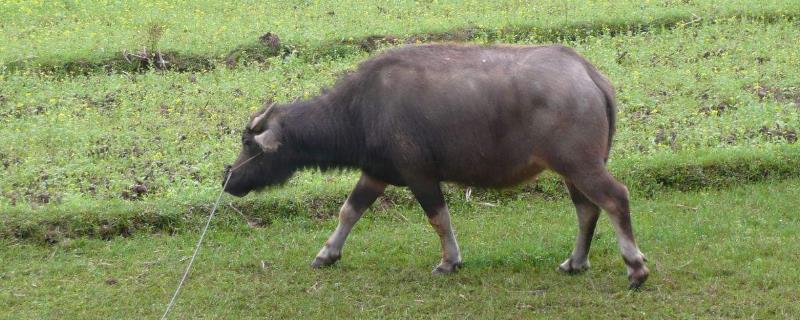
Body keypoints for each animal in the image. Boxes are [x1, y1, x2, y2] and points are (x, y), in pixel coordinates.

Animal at [222, 44, 648, 288]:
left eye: (248, 144)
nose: (229, 178)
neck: (361, 110)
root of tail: (589, 75)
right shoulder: (376, 173)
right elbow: (349, 211)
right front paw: (327, 254)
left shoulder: (420, 175)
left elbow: (438, 218)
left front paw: (449, 261)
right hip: (572, 169)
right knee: (587, 209)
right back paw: (575, 262)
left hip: (581, 163)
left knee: (615, 199)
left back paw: (635, 268)